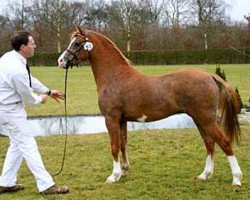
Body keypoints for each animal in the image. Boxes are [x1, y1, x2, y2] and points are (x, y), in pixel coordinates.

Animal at [58, 26, 242, 186]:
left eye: (77, 43)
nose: (61, 60)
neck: (114, 76)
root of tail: (210, 75)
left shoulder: (111, 119)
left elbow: (114, 146)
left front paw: (113, 176)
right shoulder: (122, 120)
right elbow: (123, 144)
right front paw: (124, 171)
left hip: (205, 119)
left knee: (224, 142)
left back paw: (236, 179)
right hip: (200, 119)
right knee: (210, 143)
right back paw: (205, 175)